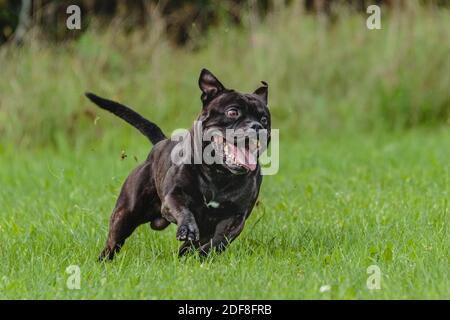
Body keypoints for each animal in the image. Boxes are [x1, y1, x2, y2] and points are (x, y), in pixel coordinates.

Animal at [86, 68, 270, 260]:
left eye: (264, 119)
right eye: (233, 112)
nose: (257, 126)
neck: (217, 173)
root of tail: (160, 144)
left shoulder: (236, 216)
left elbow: (221, 239)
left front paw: (202, 253)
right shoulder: (173, 197)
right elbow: (184, 211)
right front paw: (187, 230)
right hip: (125, 214)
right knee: (114, 241)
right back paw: (104, 260)